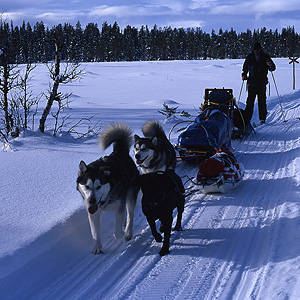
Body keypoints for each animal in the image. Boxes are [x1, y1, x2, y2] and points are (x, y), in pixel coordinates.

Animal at [77, 123, 139, 254]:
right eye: (87, 186)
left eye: (99, 186)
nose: (92, 201)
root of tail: (119, 152)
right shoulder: (93, 213)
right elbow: (95, 233)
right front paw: (97, 247)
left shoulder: (118, 208)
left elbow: (117, 232)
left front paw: (122, 233)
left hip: (130, 196)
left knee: (130, 215)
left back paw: (128, 232)